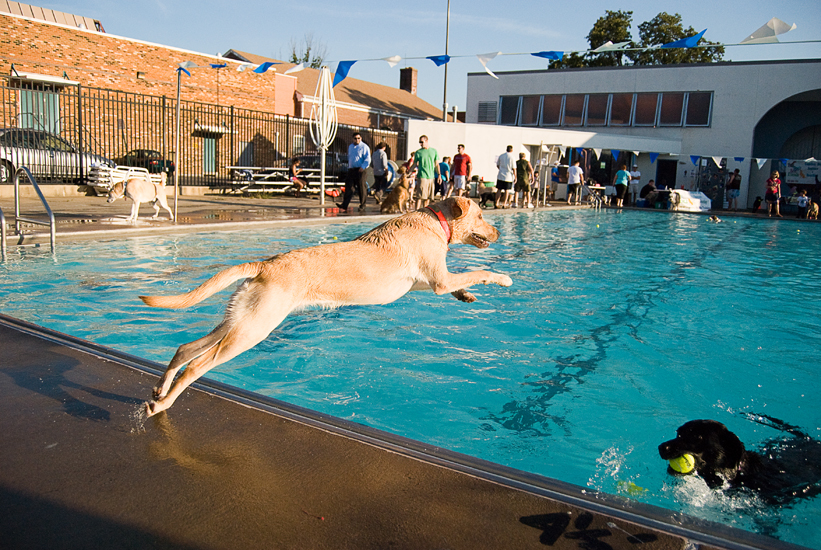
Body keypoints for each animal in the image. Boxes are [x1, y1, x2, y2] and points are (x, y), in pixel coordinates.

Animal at [141, 198, 512, 418]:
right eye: (482, 216)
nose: (496, 231)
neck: (435, 221)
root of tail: (265, 264)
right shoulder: (439, 279)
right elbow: (479, 271)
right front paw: (502, 277)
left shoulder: (424, 282)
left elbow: (460, 282)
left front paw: (465, 296)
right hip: (253, 330)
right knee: (196, 365)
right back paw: (162, 404)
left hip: (239, 321)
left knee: (185, 348)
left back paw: (161, 388)